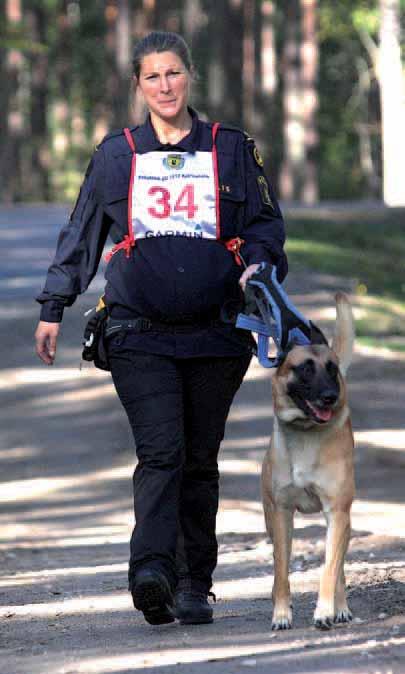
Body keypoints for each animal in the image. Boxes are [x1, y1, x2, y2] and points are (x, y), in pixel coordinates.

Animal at [262, 292, 354, 628]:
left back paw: (340, 608)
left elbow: (329, 569)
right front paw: (281, 614)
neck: (305, 432)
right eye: (305, 369)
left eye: (332, 368)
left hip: (343, 521)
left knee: (337, 567)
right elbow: (281, 572)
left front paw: (325, 610)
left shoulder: (337, 513)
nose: (329, 396)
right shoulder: (281, 514)